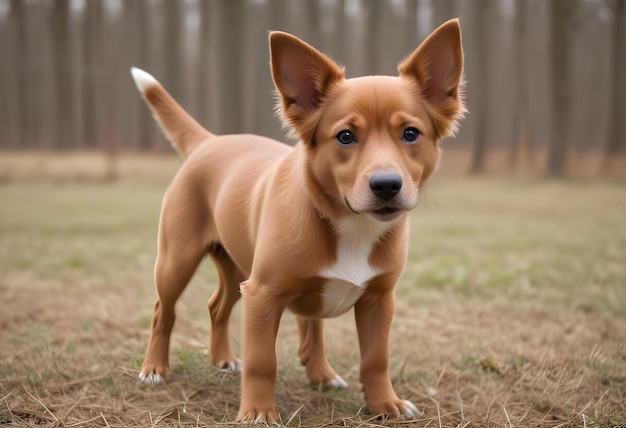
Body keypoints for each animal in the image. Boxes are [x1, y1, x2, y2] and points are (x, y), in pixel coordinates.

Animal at [130, 19, 464, 422]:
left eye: (411, 134)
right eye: (345, 136)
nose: (386, 185)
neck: (351, 225)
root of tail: (209, 141)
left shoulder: (379, 299)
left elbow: (376, 359)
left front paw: (386, 404)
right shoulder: (263, 294)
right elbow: (262, 361)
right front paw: (258, 412)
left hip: (237, 265)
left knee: (220, 306)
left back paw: (240, 361)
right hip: (177, 259)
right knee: (162, 311)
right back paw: (154, 369)